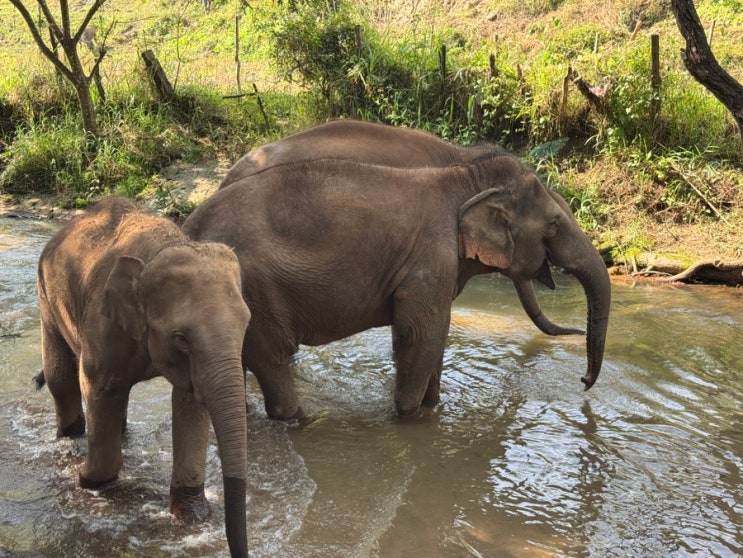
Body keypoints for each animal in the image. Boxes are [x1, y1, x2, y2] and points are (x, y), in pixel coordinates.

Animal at [36, 197, 250, 558]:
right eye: (181, 337)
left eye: (246, 325)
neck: (163, 246)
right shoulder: (102, 322)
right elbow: (99, 387)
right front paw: (88, 482)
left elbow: (191, 400)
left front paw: (191, 515)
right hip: (46, 297)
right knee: (61, 379)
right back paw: (69, 438)